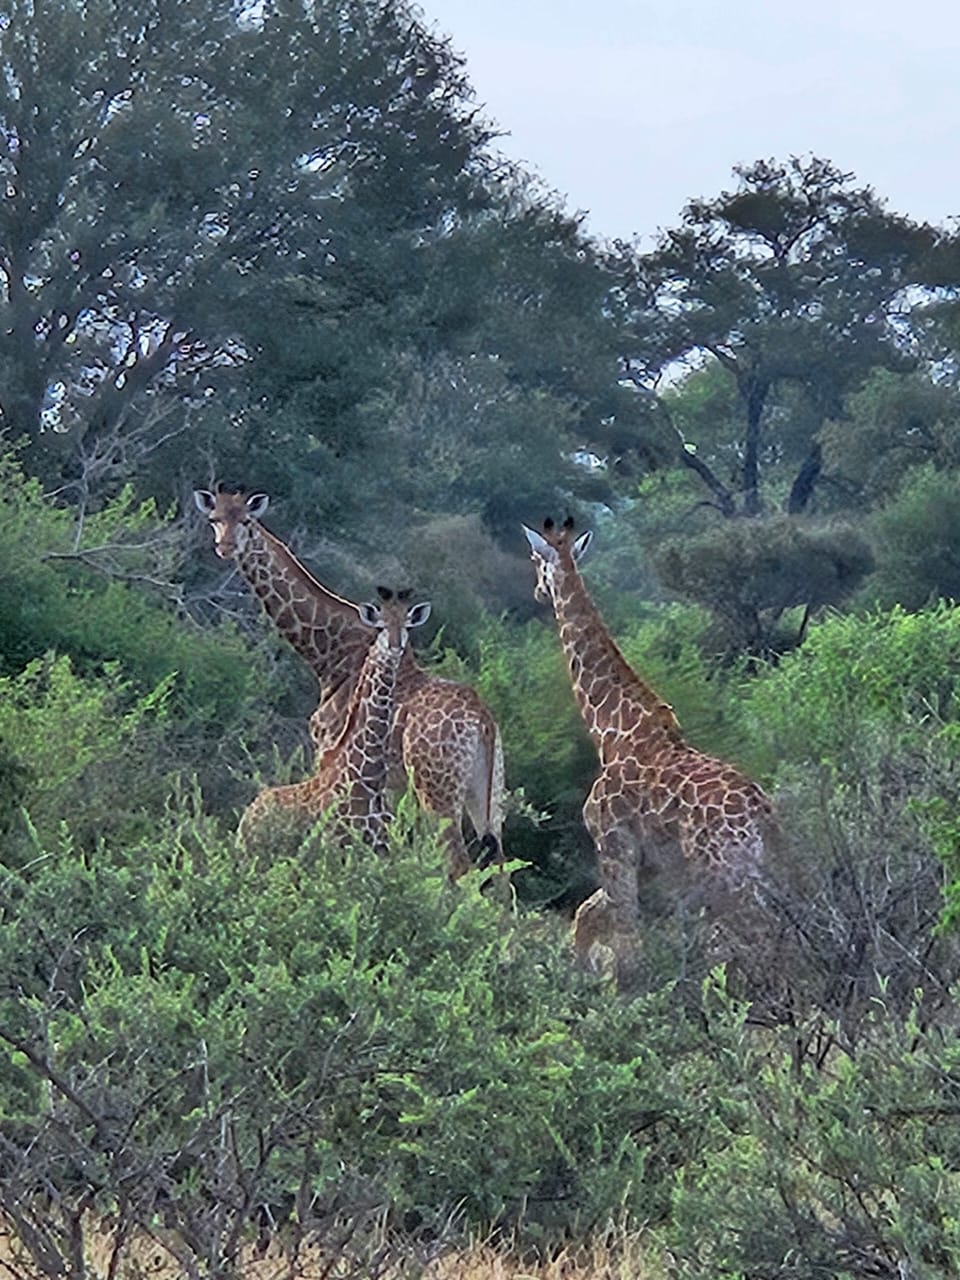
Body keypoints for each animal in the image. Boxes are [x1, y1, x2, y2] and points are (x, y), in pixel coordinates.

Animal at [239, 588, 430, 855]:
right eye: (381, 625)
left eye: (407, 625)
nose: (395, 647)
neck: (369, 779)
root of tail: (248, 815)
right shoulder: (338, 847)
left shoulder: (380, 848)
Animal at [522, 517, 774, 963]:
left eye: (536, 559)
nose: (537, 590)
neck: (610, 730)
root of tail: (760, 813)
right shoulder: (657, 870)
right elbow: (588, 919)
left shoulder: (613, 847)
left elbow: (627, 947)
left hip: (724, 871)